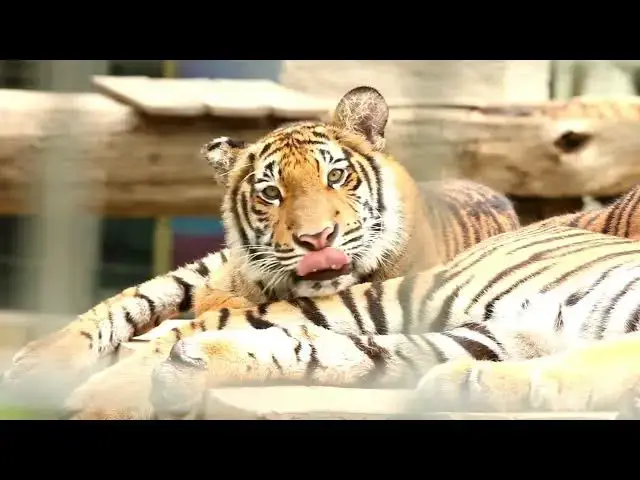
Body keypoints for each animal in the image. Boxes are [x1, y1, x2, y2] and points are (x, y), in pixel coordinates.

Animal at [2, 85, 520, 418]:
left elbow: (194, 335)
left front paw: (104, 403)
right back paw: (38, 362)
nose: (317, 239)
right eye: (271, 193)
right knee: (138, 296)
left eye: (336, 176)